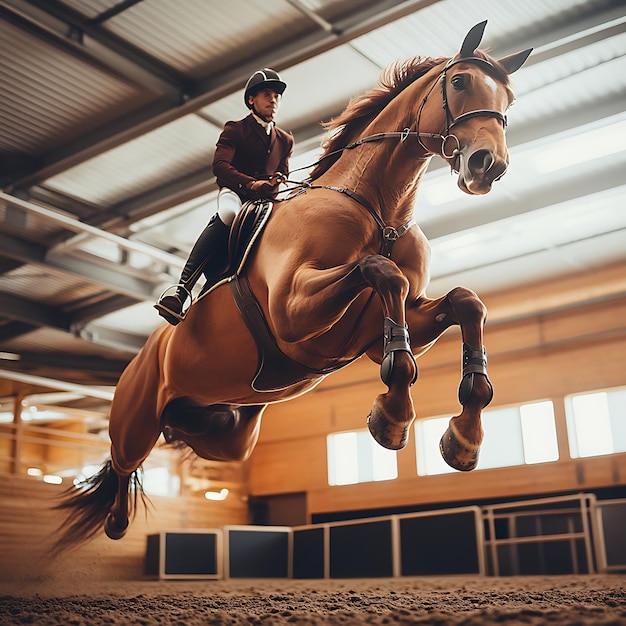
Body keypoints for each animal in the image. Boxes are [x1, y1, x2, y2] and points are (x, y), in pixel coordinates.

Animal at [54, 18, 532, 544]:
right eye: (460, 82)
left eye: (508, 101)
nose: (488, 164)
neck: (378, 210)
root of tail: (141, 356)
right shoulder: (293, 307)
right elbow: (383, 275)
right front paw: (392, 418)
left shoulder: (382, 330)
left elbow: (465, 303)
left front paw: (464, 438)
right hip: (135, 419)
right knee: (122, 466)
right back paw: (118, 515)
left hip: (228, 433)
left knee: (192, 436)